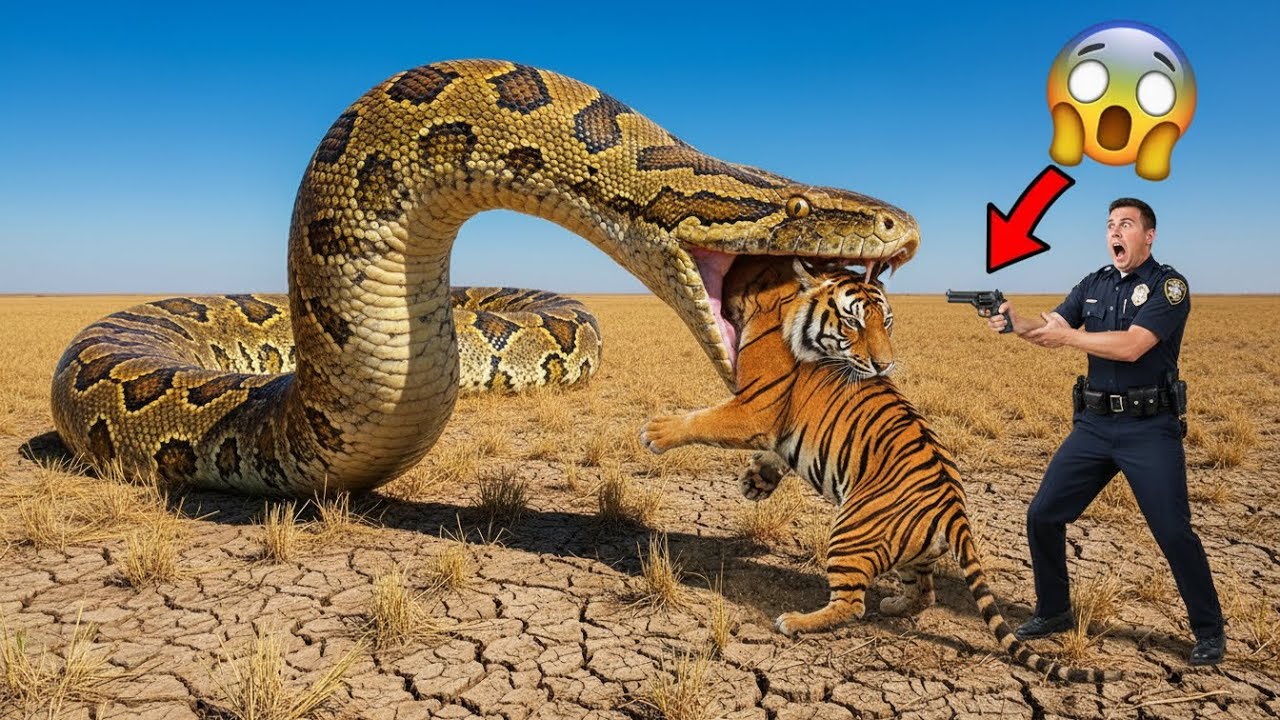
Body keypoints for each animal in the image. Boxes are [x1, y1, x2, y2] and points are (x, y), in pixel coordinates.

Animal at [640, 256, 1118, 682]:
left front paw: (656, 431)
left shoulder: (755, 407)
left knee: (853, 605)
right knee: (924, 593)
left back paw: (796, 621)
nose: (884, 365)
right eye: (855, 323)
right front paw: (756, 481)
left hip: (849, 532)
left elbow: (704, 420)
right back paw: (895, 606)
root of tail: (955, 509)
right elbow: (770, 453)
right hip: (911, 554)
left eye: (883, 322)